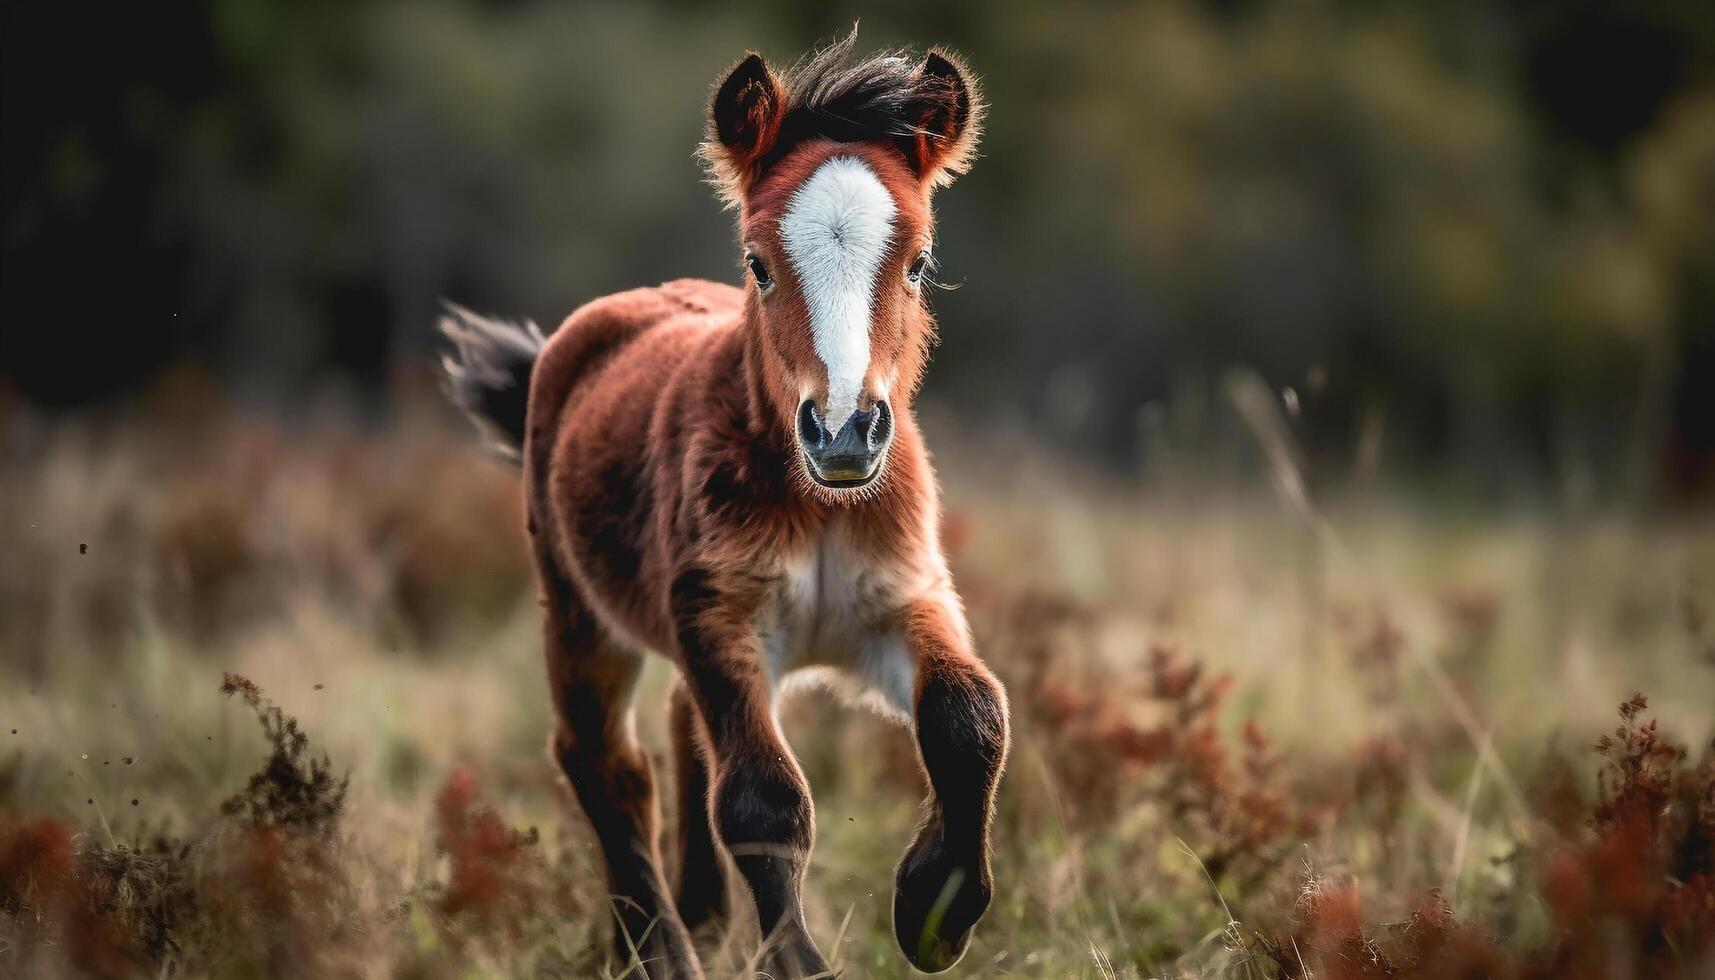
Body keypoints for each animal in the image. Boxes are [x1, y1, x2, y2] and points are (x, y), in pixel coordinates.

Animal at [439, 34, 1001, 974]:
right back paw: (658, 950)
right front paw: (803, 964)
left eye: (919, 262)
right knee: (606, 760)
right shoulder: (715, 616)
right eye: (758, 263)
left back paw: (693, 921)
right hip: (578, 606)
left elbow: (971, 719)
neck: (820, 505)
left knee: (675, 734)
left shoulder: (905, 600)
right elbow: (762, 801)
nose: (842, 433)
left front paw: (934, 909)